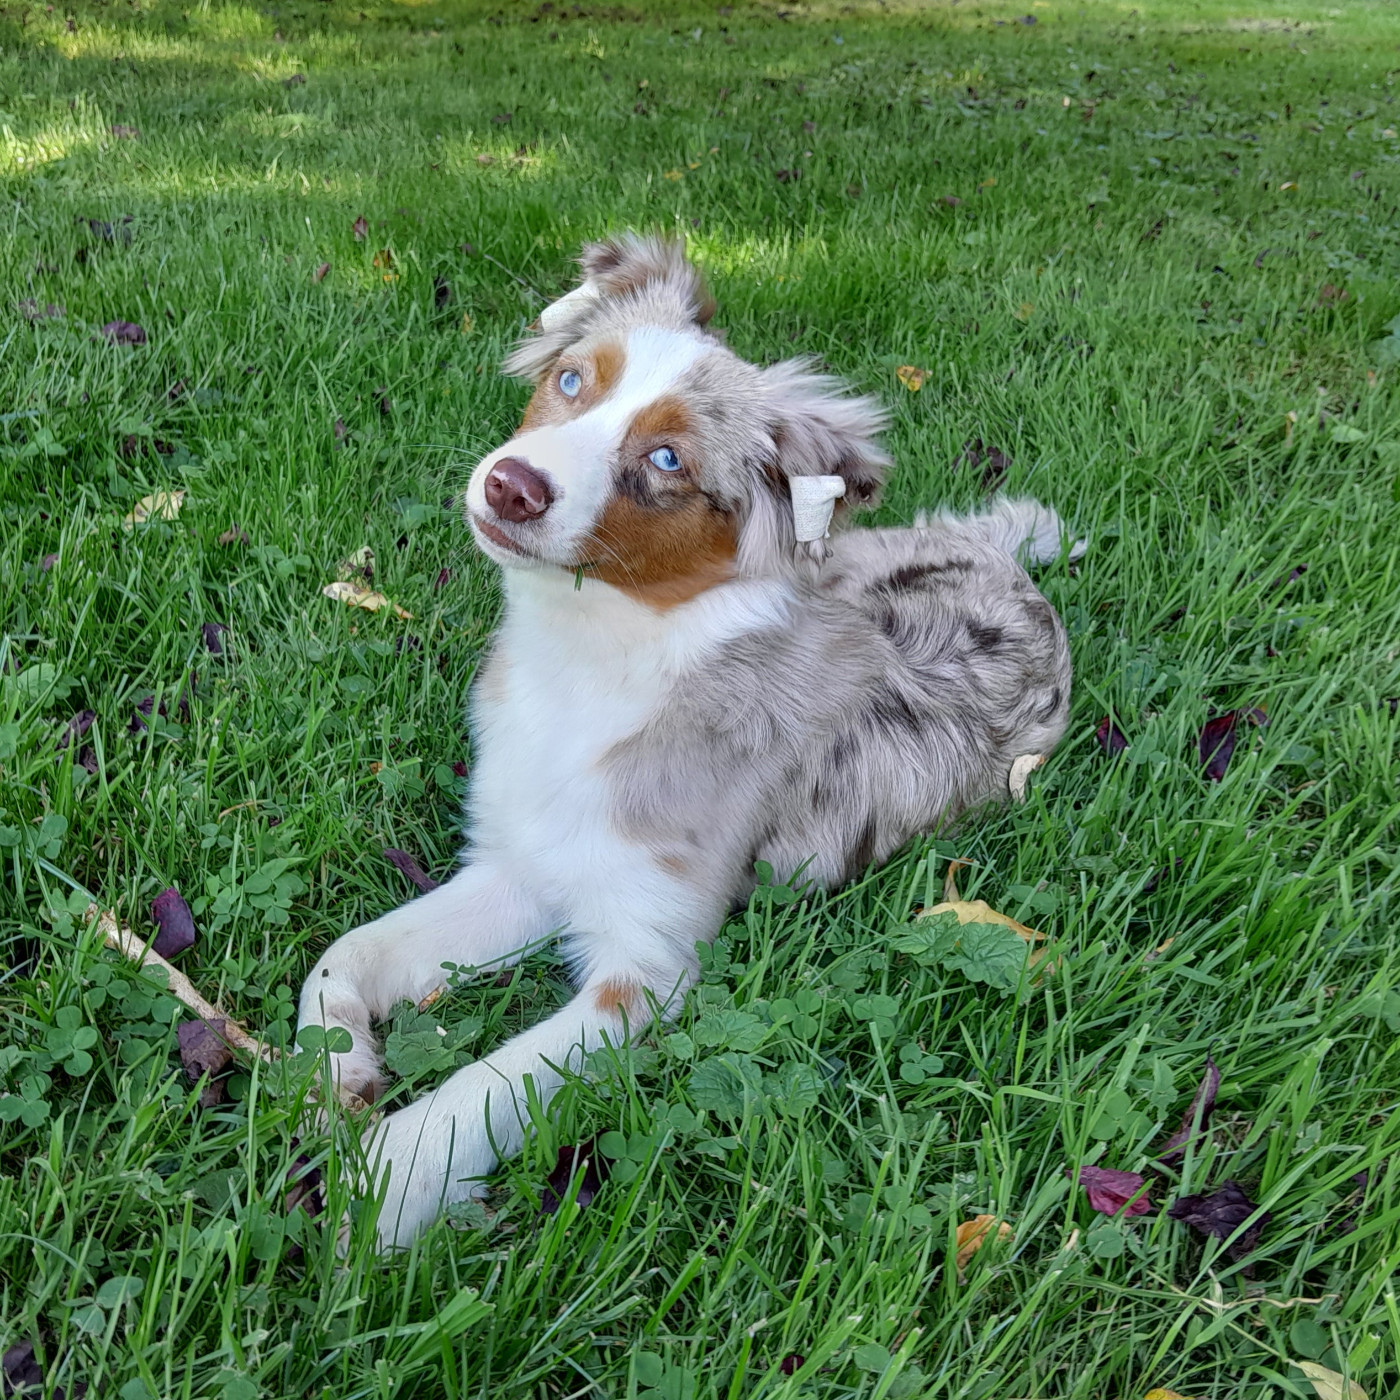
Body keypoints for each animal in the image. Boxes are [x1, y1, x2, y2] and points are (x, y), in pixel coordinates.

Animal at [297, 233, 1078, 1248]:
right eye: (571, 379)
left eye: (667, 457)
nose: (510, 485)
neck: (594, 665)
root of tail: (1008, 566)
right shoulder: (519, 866)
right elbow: (342, 953)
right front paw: (335, 1065)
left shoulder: (647, 967)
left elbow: (484, 1084)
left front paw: (383, 1189)